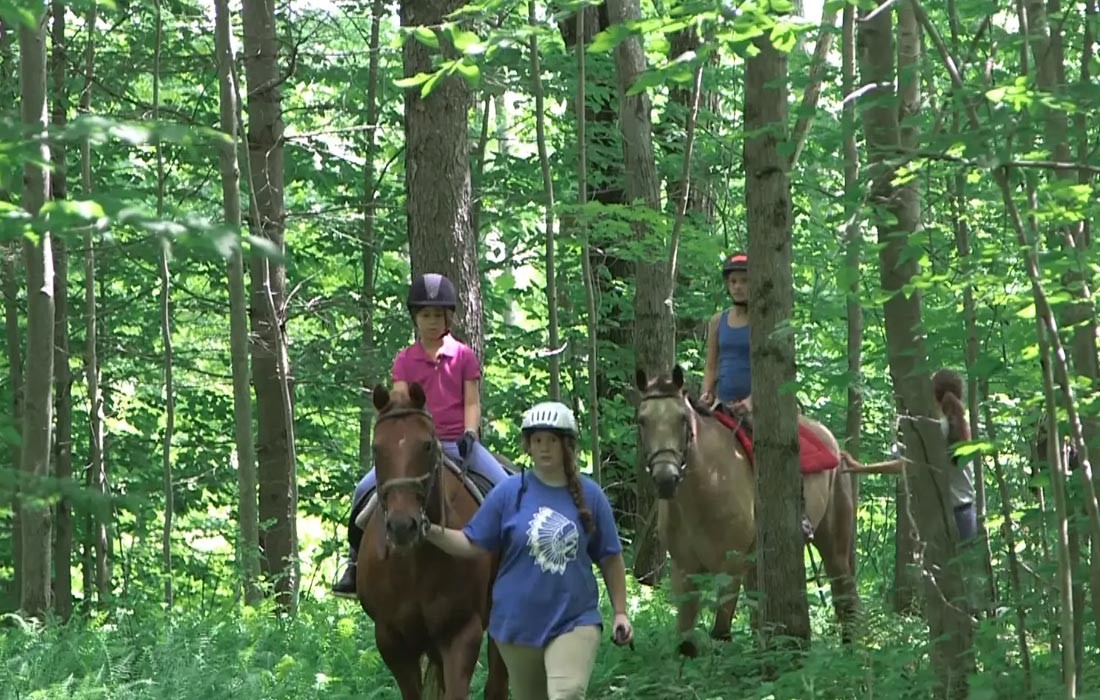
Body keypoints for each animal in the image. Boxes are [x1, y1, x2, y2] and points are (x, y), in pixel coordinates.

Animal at [356, 383, 508, 699]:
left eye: (426, 445)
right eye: (377, 448)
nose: (403, 526)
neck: (415, 563)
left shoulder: (461, 633)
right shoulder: (391, 640)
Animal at [634, 366, 859, 656]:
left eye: (682, 419)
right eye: (642, 421)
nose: (665, 479)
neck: (705, 487)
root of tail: (835, 446)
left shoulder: (731, 567)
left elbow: (721, 634)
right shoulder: (684, 570)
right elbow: (685, 641)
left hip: (834, 545)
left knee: (845, 596)